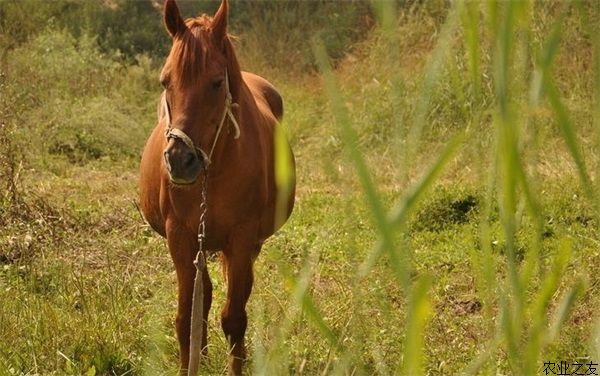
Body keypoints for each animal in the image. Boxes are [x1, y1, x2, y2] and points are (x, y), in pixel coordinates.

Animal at [137, 0, 296, 374]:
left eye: (215, 83)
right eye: (165, 81)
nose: (180, 160)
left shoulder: (242, 238)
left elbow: (235, 317)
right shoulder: (180, 237)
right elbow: (187, 318)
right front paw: (191, 363)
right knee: (204, 297)